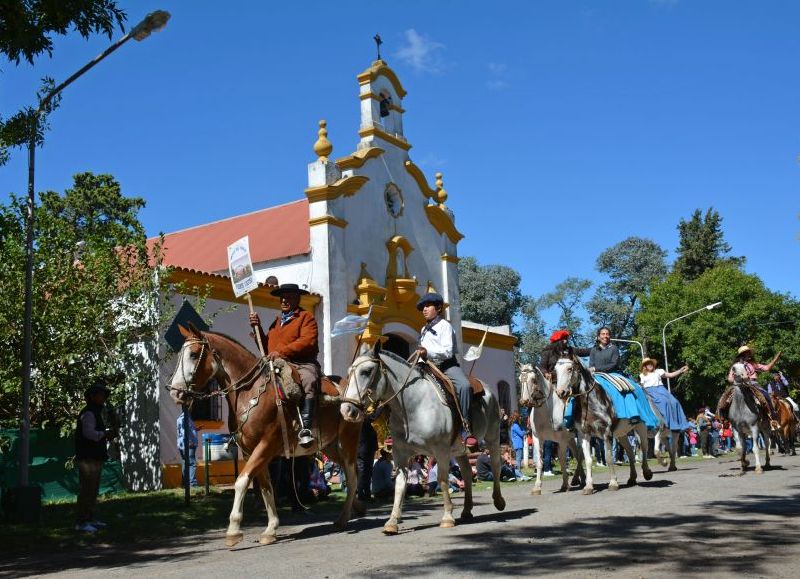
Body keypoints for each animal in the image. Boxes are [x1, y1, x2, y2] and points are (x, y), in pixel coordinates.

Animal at [169, 326, 362, 548]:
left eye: (193, 354)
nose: (175, 392)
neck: (249, 393)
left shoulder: (265, 445)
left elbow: (242, 481)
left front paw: (233, 530)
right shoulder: (251, 451)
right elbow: (265, 488)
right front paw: (271, 529)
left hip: (348, 441)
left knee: (352, 476)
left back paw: (344, 517)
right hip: (329, 447)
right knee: (350, 473)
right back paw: (357, 507)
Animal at [340, 342, 506, 536]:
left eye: (366, 371)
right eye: (349, 372)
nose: (346, 410)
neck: (414, 405)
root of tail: (487, 389)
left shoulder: (441, 451)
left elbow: (442, 479)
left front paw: (447, 517)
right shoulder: (401, 453)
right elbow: (400, 485)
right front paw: (392, 521)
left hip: (492, 436)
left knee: (496, 465)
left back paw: (499, 501)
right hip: (459, 449)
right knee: (466, 472)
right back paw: (466, 510)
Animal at [516, 362, 584, 494]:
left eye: (533, 380)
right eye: (520, 379)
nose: (524, 401)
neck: (547, 411)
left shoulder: (561, 440)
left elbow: (563, 460)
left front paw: (565, 484)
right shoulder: (538, 438)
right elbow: (539, 462)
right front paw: (537, 487)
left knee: (580, 455)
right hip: (571, 439)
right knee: (578, 455)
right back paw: (580, 479)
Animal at [556, 358, 648, 494]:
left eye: (570, 369)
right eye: (555, 370)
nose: (560, 392)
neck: (588, 402)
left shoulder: (606, 433)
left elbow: (608, 457)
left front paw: (613, 483)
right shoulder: (584, 434)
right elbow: (588, 460)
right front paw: (588, 486)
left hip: (640, 426)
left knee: (644, 447)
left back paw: (647, 473)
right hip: (621, 434)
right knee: (630, 452)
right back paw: (632, 478)